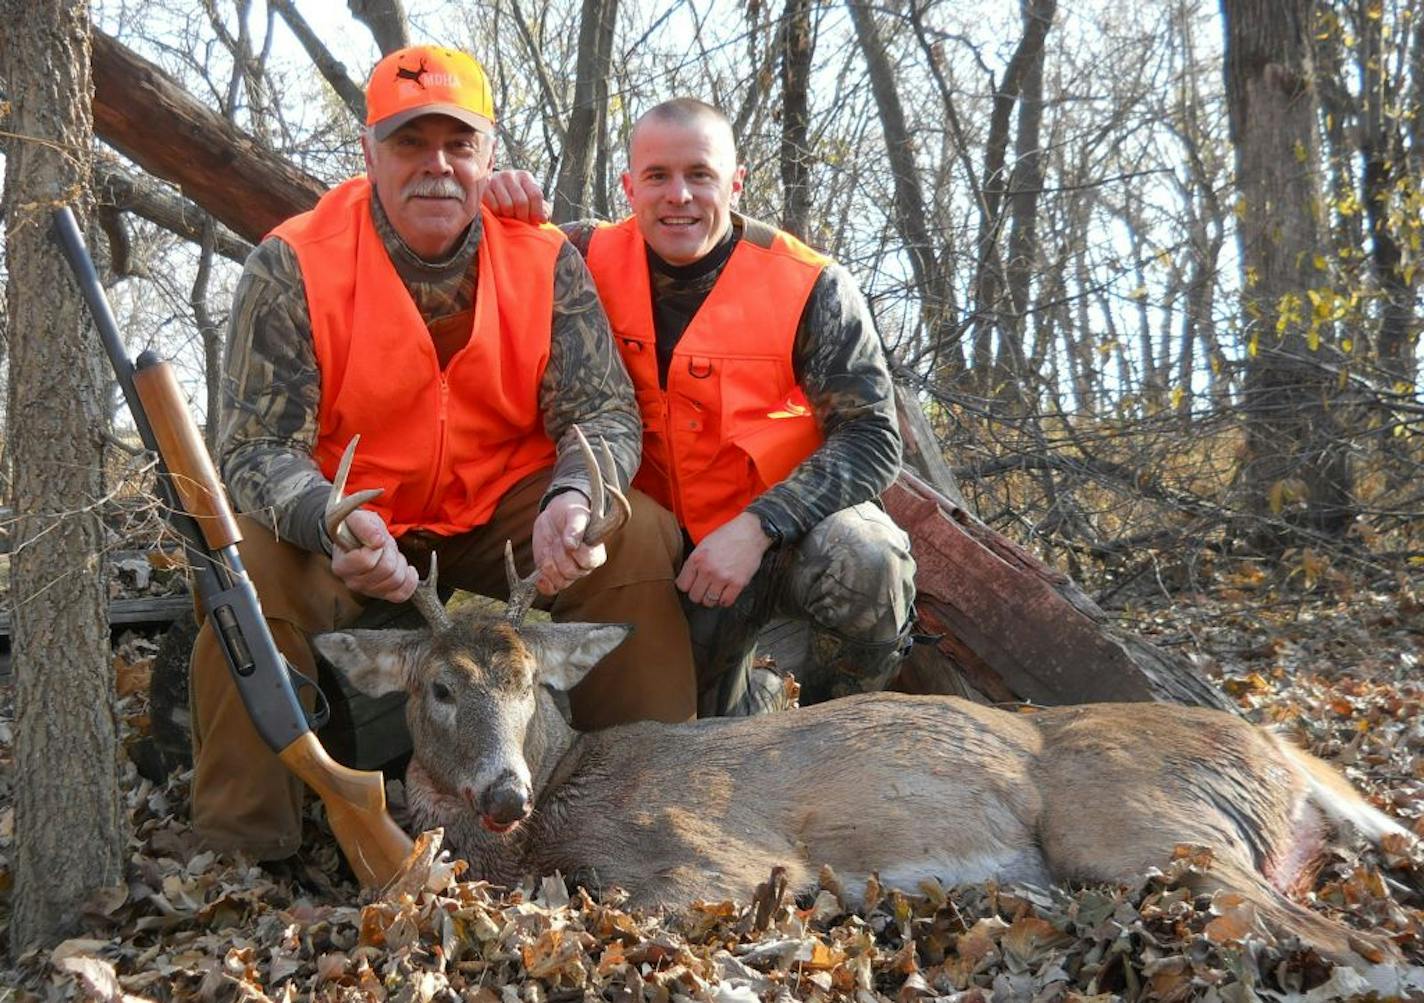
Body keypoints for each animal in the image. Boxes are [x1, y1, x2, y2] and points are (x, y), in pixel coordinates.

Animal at [311, 435, 1412, 963]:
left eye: (533, 683)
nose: (503, 791)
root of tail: (1279, 751)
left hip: (1139, 822)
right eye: (439, 685)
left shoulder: (703, 856)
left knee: (1341, 934)